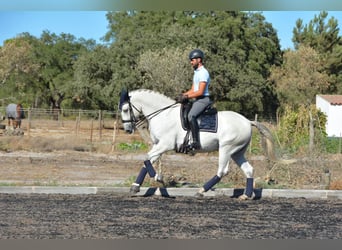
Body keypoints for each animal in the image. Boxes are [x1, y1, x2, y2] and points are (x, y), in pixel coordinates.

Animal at [119, 89, 276, 199]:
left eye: (125, 109)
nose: (127, 130)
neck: (163, 114)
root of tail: (247, 121)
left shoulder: (165, 145)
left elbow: (146, 158)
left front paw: (158, 178)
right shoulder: (158, 145)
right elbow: (147, 161)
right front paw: (135, 187)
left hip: (226, 148)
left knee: (222, 171)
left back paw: (201, 191)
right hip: (237, 151)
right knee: (248, 170)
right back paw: (246, 195)